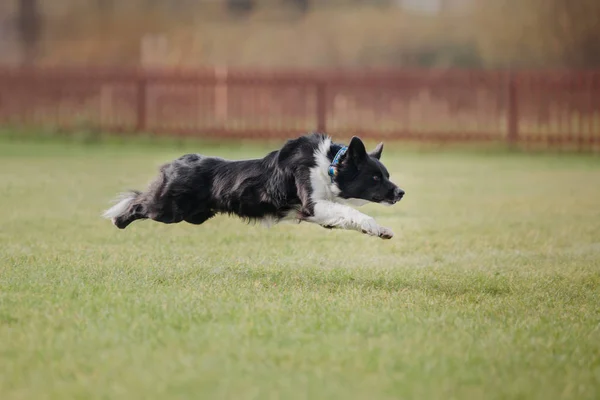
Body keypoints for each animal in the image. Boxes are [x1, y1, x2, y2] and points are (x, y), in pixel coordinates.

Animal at [103, 134, 406, 239]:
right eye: (375, 178)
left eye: (386, 175)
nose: (400, 192)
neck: (330, 164)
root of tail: (176, 163)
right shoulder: (312, 205)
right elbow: (355, 212)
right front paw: (377, 227)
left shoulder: (322, 213)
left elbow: (348, 216)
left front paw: (381, 231)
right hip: (167, 210)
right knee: (138, 202)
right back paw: (118, 220)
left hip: (191, 216)